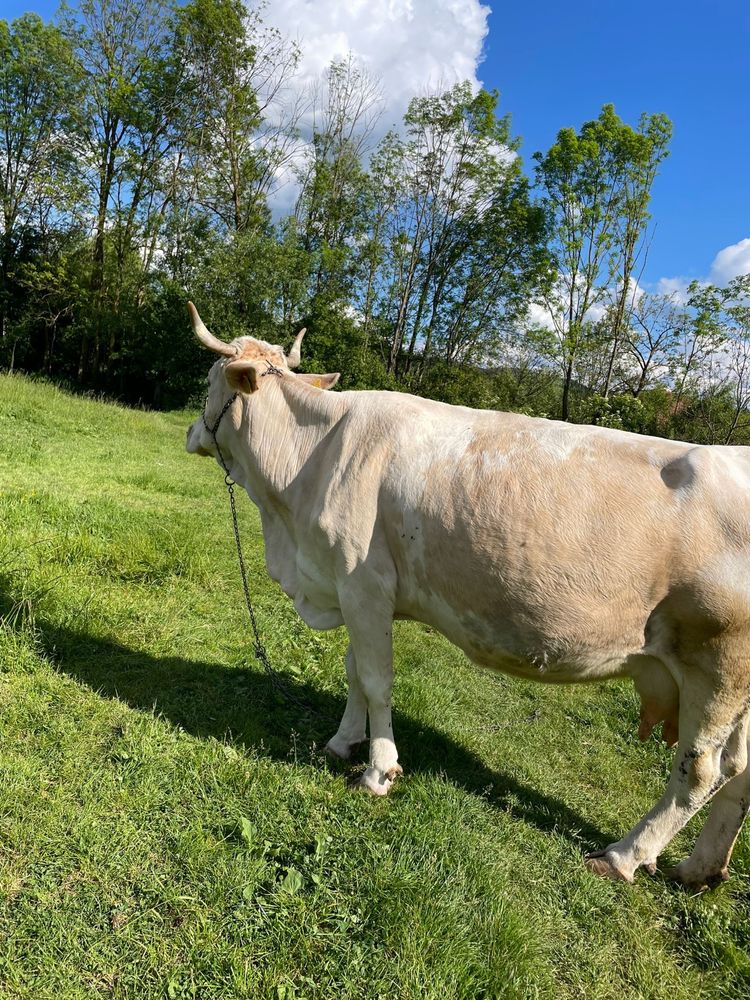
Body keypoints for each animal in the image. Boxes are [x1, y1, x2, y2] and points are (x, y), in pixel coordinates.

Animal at [187, 300, 750, 888]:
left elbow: (376, 680)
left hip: (718, 665)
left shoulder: (363, 583)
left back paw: (624, 855)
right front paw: (343, 742)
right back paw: (700, 868)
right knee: (738, 772)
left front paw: (378, 771)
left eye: (206, 381)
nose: (190, 433)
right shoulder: (350, 587)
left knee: (700, 770)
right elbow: (354, 673)